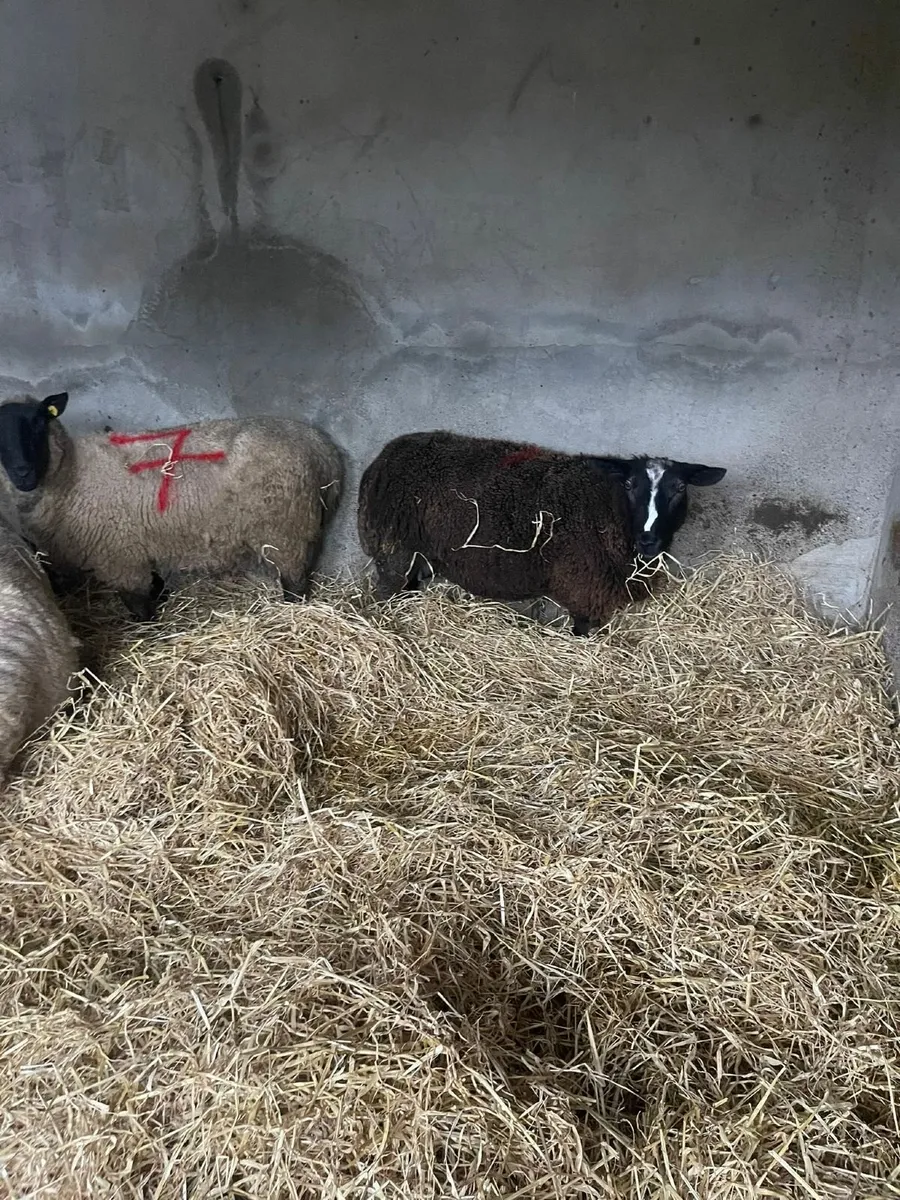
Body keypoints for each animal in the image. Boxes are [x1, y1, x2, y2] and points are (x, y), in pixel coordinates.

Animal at [0, 392, 343, 621]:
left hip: (284, 531)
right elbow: (155, 586)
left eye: (39, 422)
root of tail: (321, 447)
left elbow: (139, 606)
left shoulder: (120, 556)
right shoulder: (137, 547)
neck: (71, 474)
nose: (22, 473)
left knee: (295, 585)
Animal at [357, 430, 726, 634]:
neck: (609, 509)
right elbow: (582, 632)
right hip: (393, 551)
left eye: (680, 487)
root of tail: (385, 454)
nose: (648, 539)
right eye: (630, 484)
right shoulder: (582, 587)